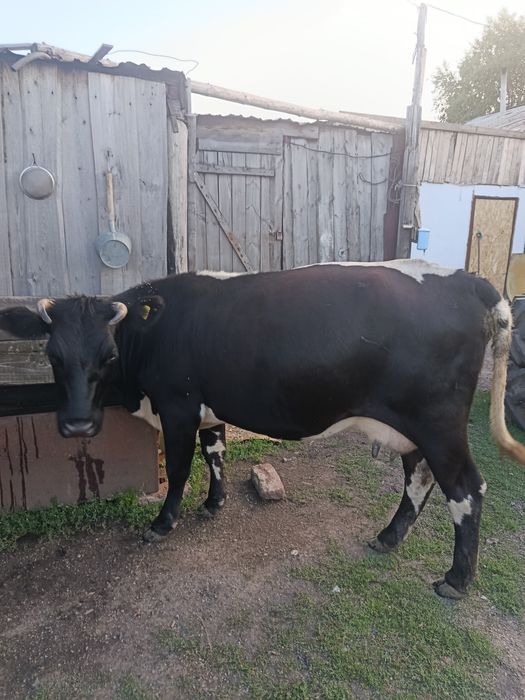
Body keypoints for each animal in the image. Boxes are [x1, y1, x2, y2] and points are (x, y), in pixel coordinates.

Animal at [1, 259, 524, 600]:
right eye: (53, 356)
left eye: (107, 355)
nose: (77, 423)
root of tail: (464, 278)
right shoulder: (208, 408)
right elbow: (214, 452)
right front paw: (214, 503)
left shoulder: (177, 406)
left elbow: (180, 466)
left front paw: (163, 523)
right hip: (411, 426)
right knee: (419, 477)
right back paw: (388, 537)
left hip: (438, 423)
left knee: (465, 489)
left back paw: (455, 580)